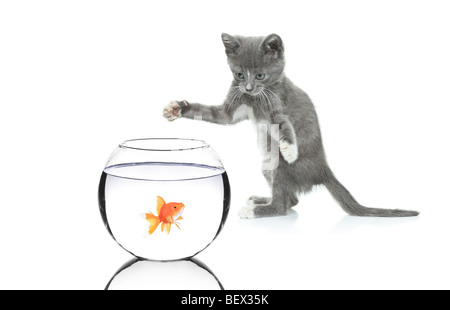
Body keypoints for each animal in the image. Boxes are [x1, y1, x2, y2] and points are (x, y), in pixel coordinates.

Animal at [163, 34, 420, 218]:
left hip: (282, 166)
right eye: (239, 74)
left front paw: (289, 147)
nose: (248, 88)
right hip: (267, 165)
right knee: (290, 201)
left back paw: (257, 210)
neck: (255, 99)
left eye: (260, 75)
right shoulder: (231, 109)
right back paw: (260, 200)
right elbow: (214, 114)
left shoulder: (277, 104)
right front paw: (178, 109)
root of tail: (323, 170)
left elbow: (284, 124)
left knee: (282, 204)